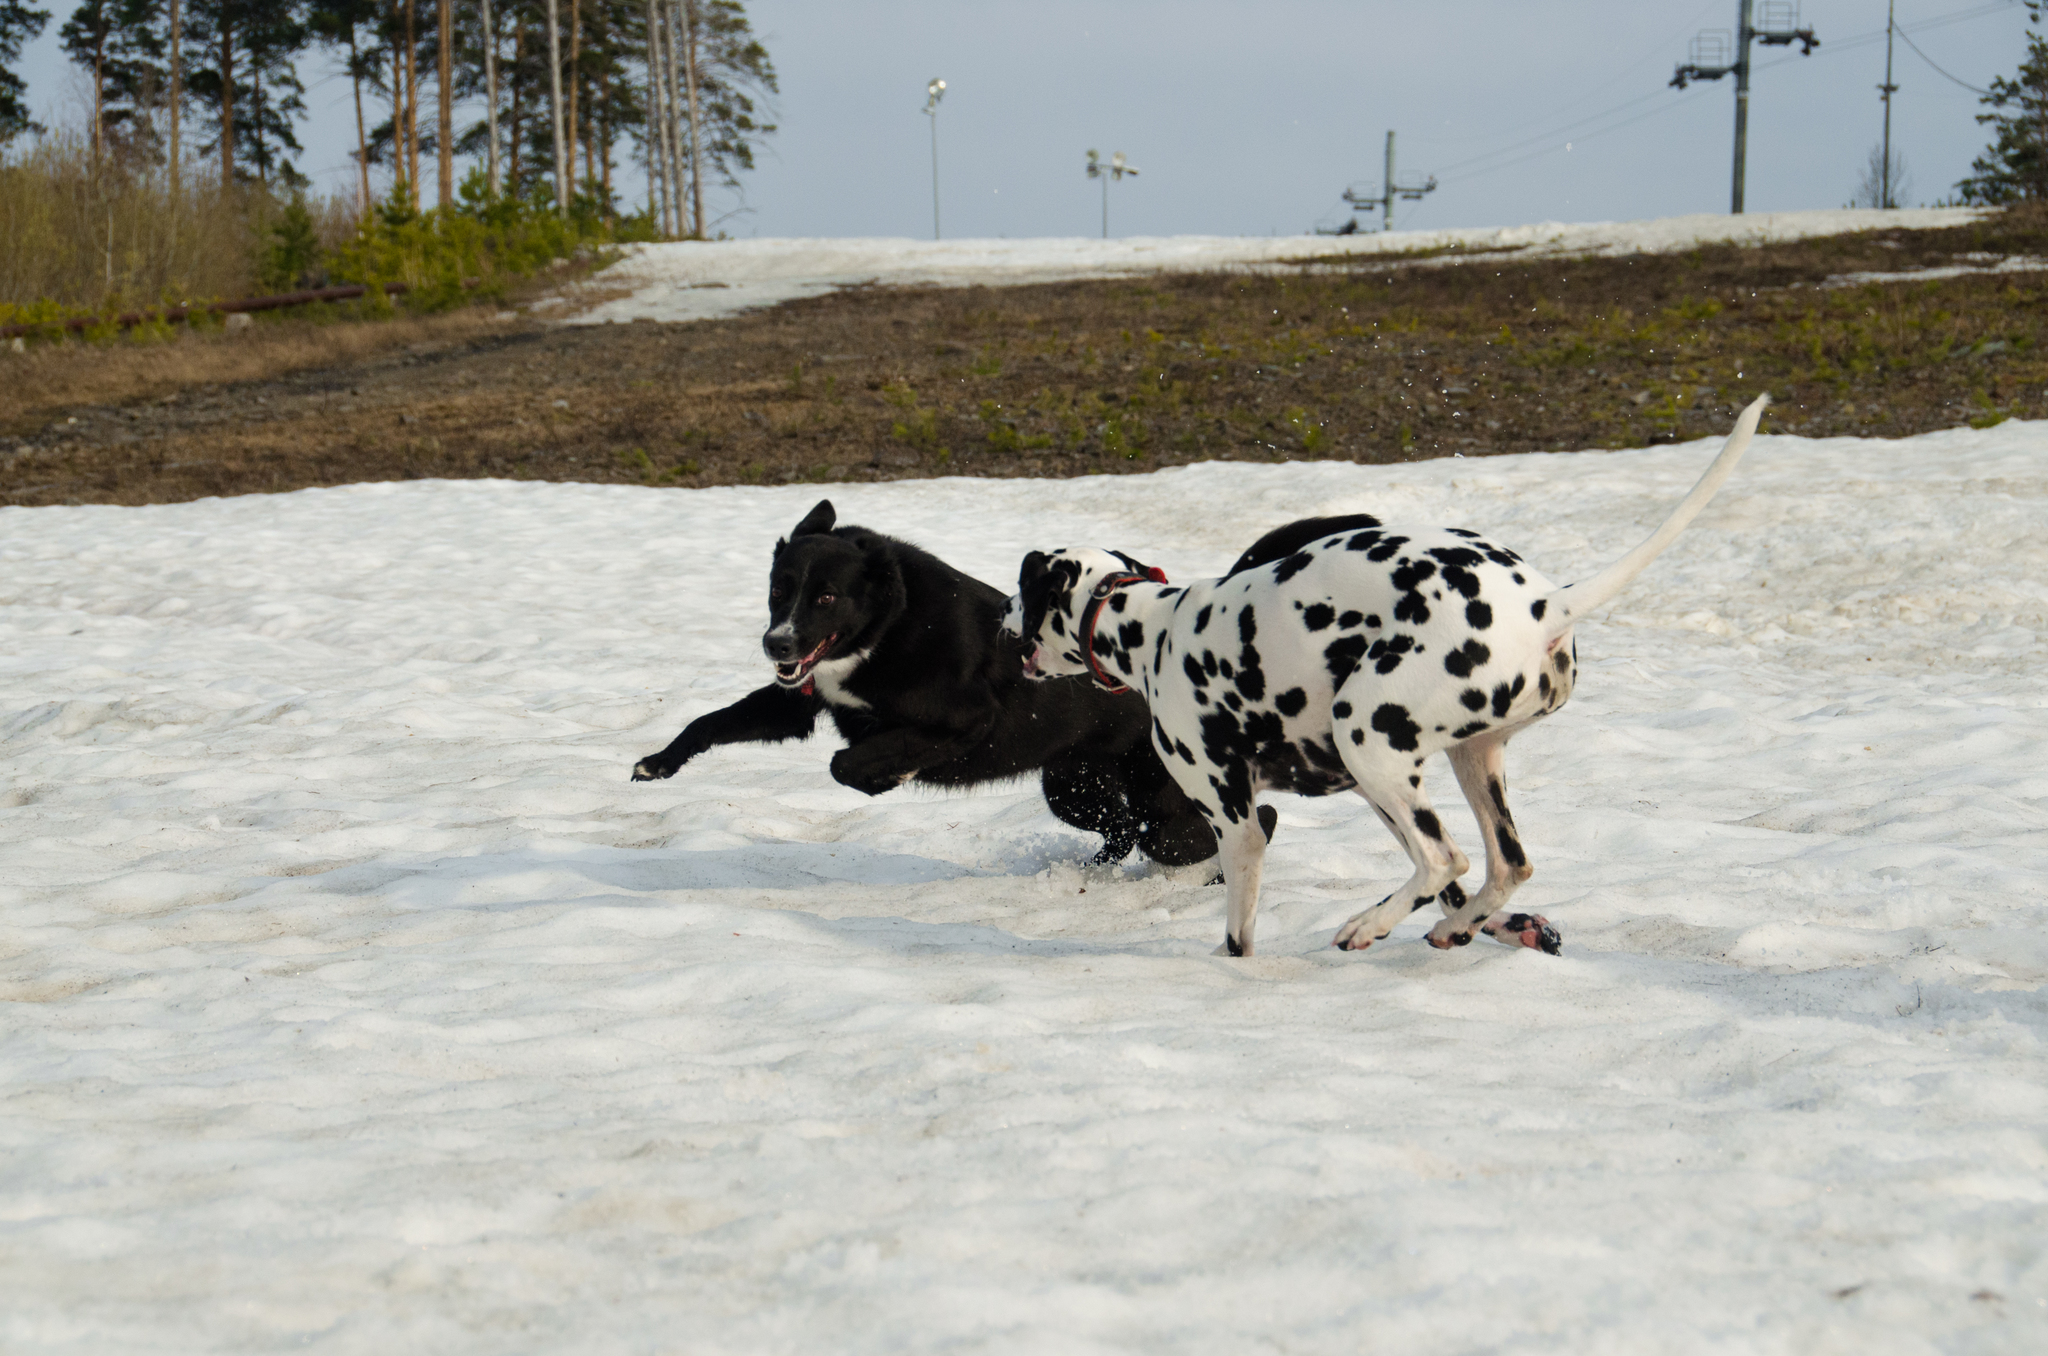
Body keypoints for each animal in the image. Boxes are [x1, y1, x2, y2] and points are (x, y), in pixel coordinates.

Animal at [630, 501, 1253, 872]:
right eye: (779, 590)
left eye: (826, 596)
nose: (775, 644)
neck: (885, 628)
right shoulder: (799, 703)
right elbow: (709, 721)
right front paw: (657, 763)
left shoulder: (968, 719)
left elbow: (848, 762)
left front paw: (886, 776)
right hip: (1073, 783)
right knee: (1123, 828)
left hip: (1156, 790)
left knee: (1204, 831)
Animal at [999, 399, 1769, 962]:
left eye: (1023, 587)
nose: (1004, 618)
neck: (1152, 629)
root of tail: (1546, 602)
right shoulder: (1371, 796)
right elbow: (1460, 889)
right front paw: (1494, 928)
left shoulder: (1238, 822)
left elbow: (1240, 931)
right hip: (1456, 762)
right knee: (1498, 866)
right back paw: (1448, 929)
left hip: (1369, 733)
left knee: (1444, 858)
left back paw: (1363, 927)